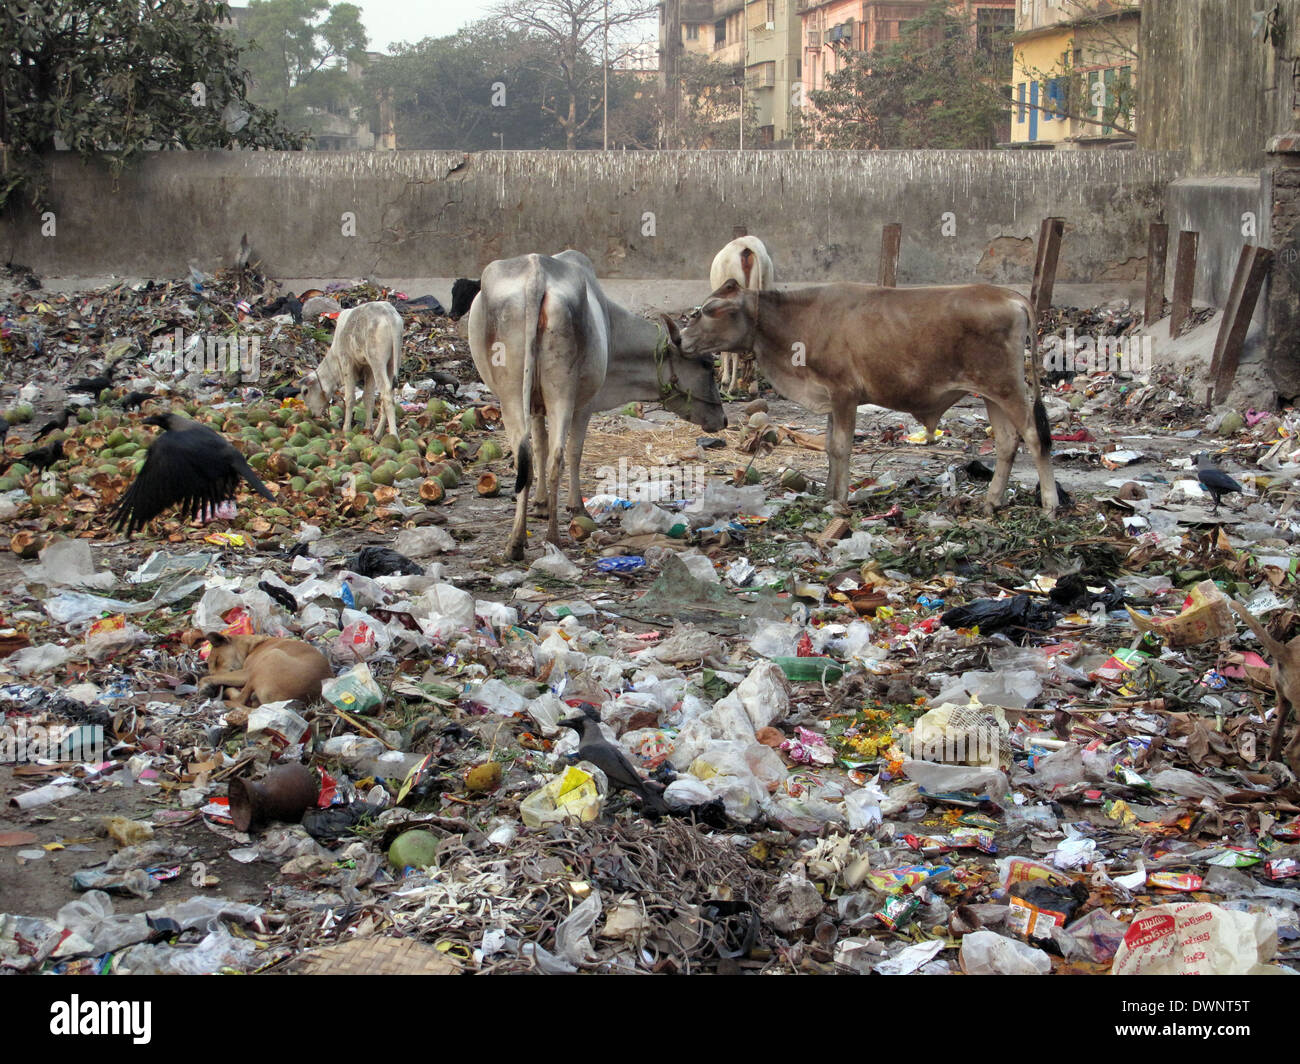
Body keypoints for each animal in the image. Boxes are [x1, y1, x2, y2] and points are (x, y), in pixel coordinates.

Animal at [200, 629, 335, 702]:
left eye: (217, 660)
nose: (217, 690)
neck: (253, 646)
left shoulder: (245, 673)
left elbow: (211, 678)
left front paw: (203, 685)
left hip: (269, 658)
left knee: (240, 699)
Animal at [301, 300, 403, 437]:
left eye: (305, 391)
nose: (313, 415)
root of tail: (389, 315)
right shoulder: (368, 368)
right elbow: (368, 398)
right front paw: (368, 427)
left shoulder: (347, 363)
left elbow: (349, 398)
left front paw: (346, 428)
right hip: (391, 362)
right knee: (389, 394)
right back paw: (377, 433)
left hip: (377, 361)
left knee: (386, 394)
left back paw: (393, 435)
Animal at [470, 252, 733, 559]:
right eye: (706, 365)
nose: (723, 419)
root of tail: (537, 273)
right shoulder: (584, 404)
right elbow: (573, 452)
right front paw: (575, 507)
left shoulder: (536, 406)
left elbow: (539, 448)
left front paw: (541, 504)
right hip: (560, 394)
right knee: (557, 457)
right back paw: (550, 538)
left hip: (512, 396)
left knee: (528, 458)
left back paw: (517, 542)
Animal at [681, 279, 1055, 512]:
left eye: (711, 310)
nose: (680, 338)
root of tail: (1010, 295)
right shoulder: (830, 398)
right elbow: (830, 447)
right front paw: (828, 493)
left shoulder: (844, 393)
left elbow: (842, 447)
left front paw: (839, 501)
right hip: (992, 391)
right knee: (1007, 442)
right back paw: (992, 502)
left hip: (1008, 387)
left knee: (1035, 437)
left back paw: (1050, 504)